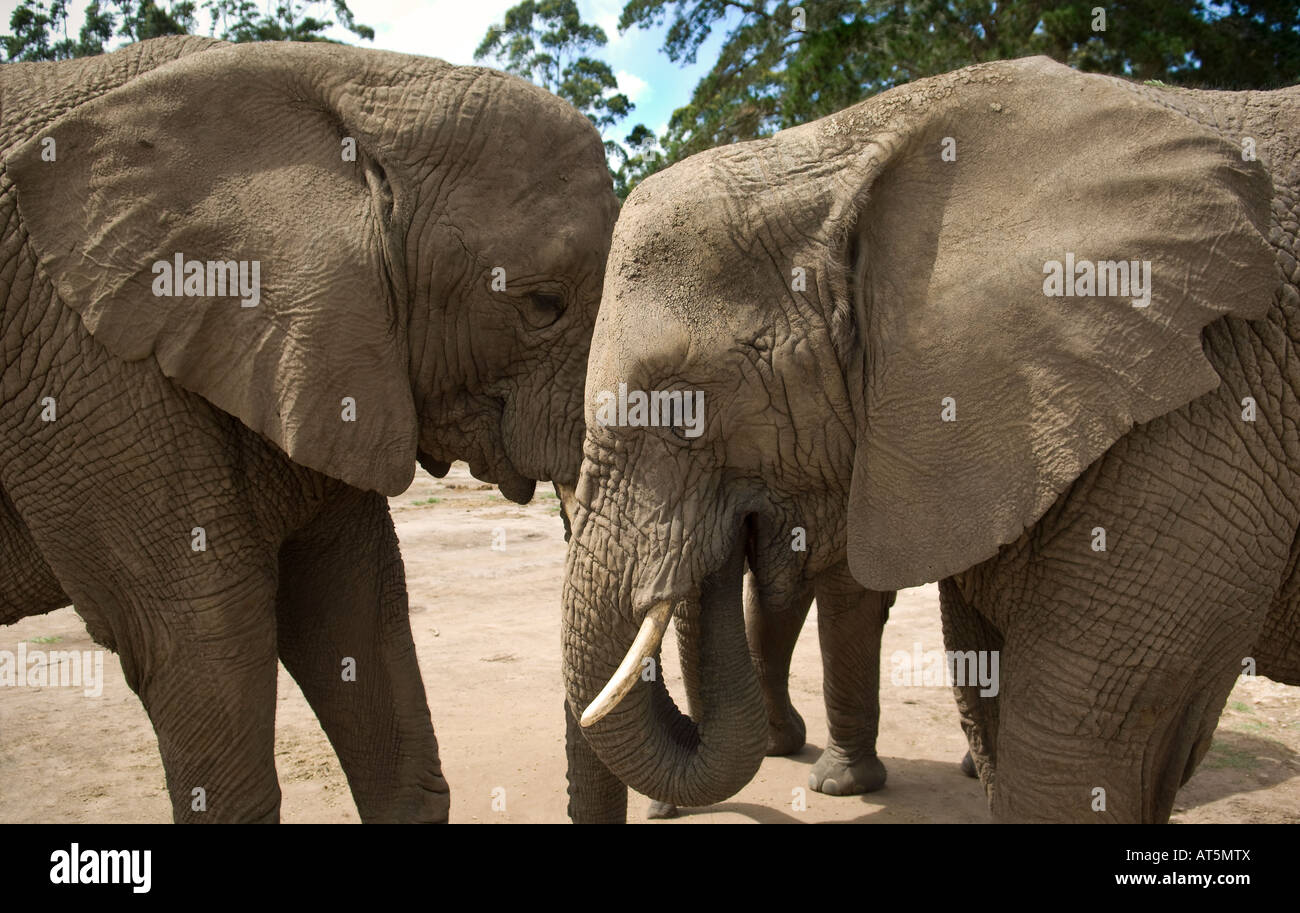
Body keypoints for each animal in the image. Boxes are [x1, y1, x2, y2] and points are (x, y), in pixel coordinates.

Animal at [564, 57, 1300, 832]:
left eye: (683, 406)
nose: (721, 536)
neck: (847, 147)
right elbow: (988, 686)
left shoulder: (1202, 415)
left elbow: (1073, 754)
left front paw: (839, 785)